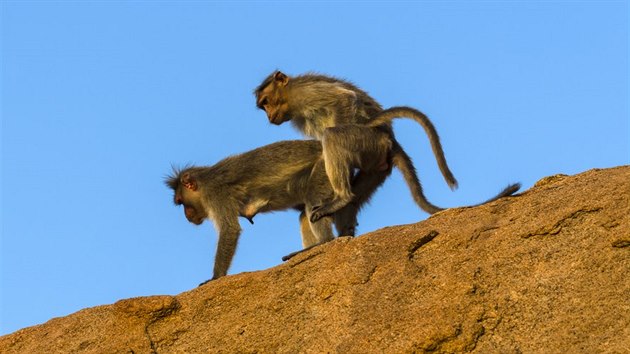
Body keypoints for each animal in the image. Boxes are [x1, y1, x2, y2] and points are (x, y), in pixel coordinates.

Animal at [254, 70, 520, 223]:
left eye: (266, 101)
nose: (268, 116)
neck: (290, 95)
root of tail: (391, 143)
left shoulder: (306, 93)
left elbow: (344, 100)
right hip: (374, 165)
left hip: (368, 142)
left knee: (334, 137)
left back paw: (342, 197)